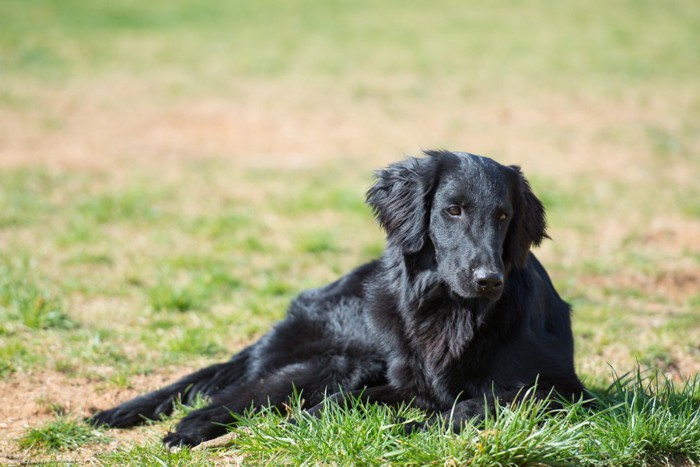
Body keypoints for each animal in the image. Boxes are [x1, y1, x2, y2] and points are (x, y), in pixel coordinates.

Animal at [91, 151, 584, 450]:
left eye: (503, 215)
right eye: (453, 210)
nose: (489, 280)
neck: (451, 311)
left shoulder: (561, 392)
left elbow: (473, 404)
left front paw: (405, 428)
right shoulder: (404, 381)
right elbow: (341, 403)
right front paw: (305, 425)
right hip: (338, 357)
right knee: (238, 393)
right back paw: (189, 428)